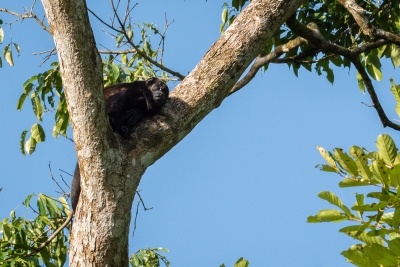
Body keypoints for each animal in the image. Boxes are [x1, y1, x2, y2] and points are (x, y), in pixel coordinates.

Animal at [69, 78, 168, 214]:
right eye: (157, 88)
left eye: (164, 91)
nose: (161, 94)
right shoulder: (138, 88)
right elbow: (126, 96)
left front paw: (137, 113)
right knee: (120, 96)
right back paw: (113, 121)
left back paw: (124, 128)